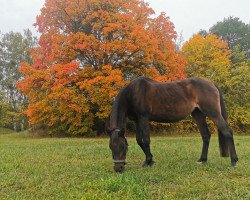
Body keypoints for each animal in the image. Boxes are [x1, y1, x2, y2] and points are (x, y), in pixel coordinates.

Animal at [105, 76, 238, 173]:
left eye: (123, 147)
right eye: (111, 147)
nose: (118, 168)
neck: (133, 92)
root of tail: (212, 84)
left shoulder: (143, 118)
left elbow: (146, 140)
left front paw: (149, 161)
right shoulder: (137, 120)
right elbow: (139, 141)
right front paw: (150, 160)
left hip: (212, 112)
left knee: (227, 131)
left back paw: (233, 162)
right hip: (198, 114)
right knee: (206, 135)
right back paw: (202, 160)